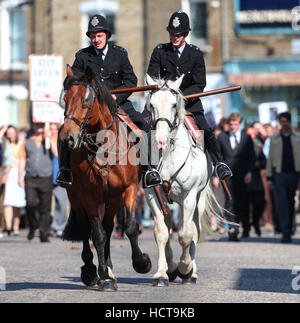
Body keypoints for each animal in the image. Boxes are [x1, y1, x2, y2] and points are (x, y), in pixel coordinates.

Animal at [58, 66, 151, 292]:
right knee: (86, 230)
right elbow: (97, 235)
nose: (67, 138)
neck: (104, 147)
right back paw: (92, 272)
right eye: (65, 98)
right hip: (77, 197)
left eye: (86, 99)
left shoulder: (129, 188)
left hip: (112, 199)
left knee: (108, 227)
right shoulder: (88, 195)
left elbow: (130, 227)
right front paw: (103, 276)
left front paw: (141, 263)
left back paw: (109, 269)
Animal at [144, 74, 238, 288]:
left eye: (173, 104)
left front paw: (185, 268)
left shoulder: (189, 197)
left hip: (198, 200)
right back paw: (171, 268)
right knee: (169, 225)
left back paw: (191, 273)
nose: (160, 139)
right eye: (151, 105)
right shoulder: (152, 194)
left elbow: (186, 235)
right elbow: (162, 233)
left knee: (194, 230)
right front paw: (162, 273)